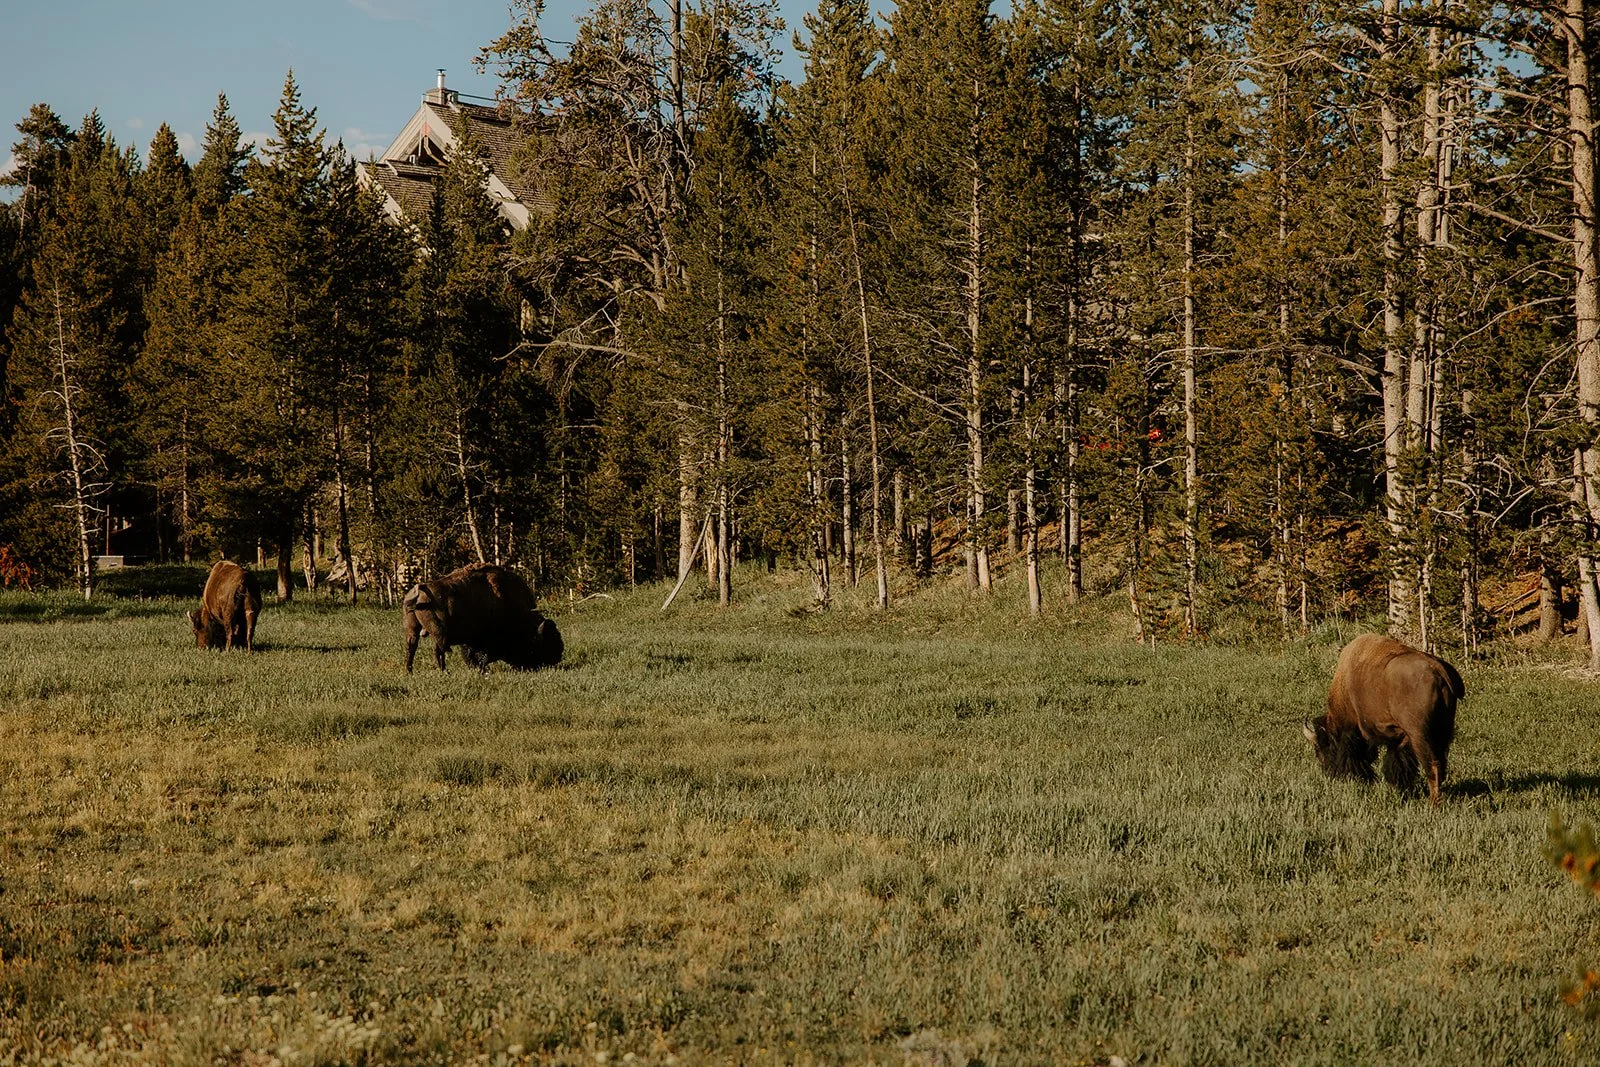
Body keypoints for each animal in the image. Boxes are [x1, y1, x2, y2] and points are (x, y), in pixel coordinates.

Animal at [402, 562, 563, 673]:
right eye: (543, 642)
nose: (558, 656)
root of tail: (420, 591)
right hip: (439, 633)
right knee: (438, 651)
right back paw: (444, 671)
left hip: (414, 630)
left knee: (413, 648)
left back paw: (410, 671)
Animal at [1304, 633, 1463, 806]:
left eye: (1322, 748)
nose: (1330, 774)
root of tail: (1438, 670)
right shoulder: (1400, 738)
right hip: (1444, 731)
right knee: (1441, 764)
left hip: (1420, 735)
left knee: (1432, 766)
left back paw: (1433, 803)